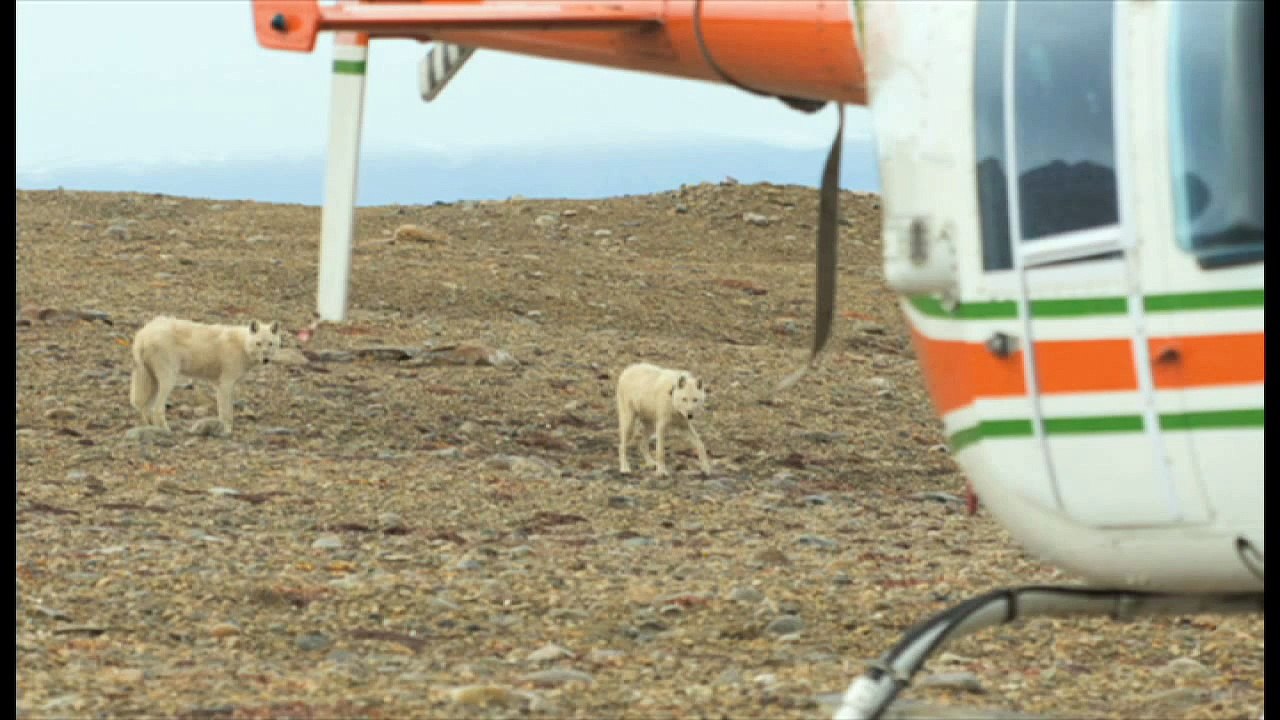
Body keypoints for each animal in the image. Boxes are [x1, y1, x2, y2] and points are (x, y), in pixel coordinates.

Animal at [130, 316, 282, 434]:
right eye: (258, 343)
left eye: (270, 344)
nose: (266, 360)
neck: (242, 345)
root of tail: (143, 334)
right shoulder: (226, 384)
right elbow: (227, 413)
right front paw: (227, 431)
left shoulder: (219, 386)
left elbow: (221, 411)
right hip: (168, 380)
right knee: (157, 408)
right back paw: (166, 431)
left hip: (153, 382)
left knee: (144, 406)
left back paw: (149, 429)